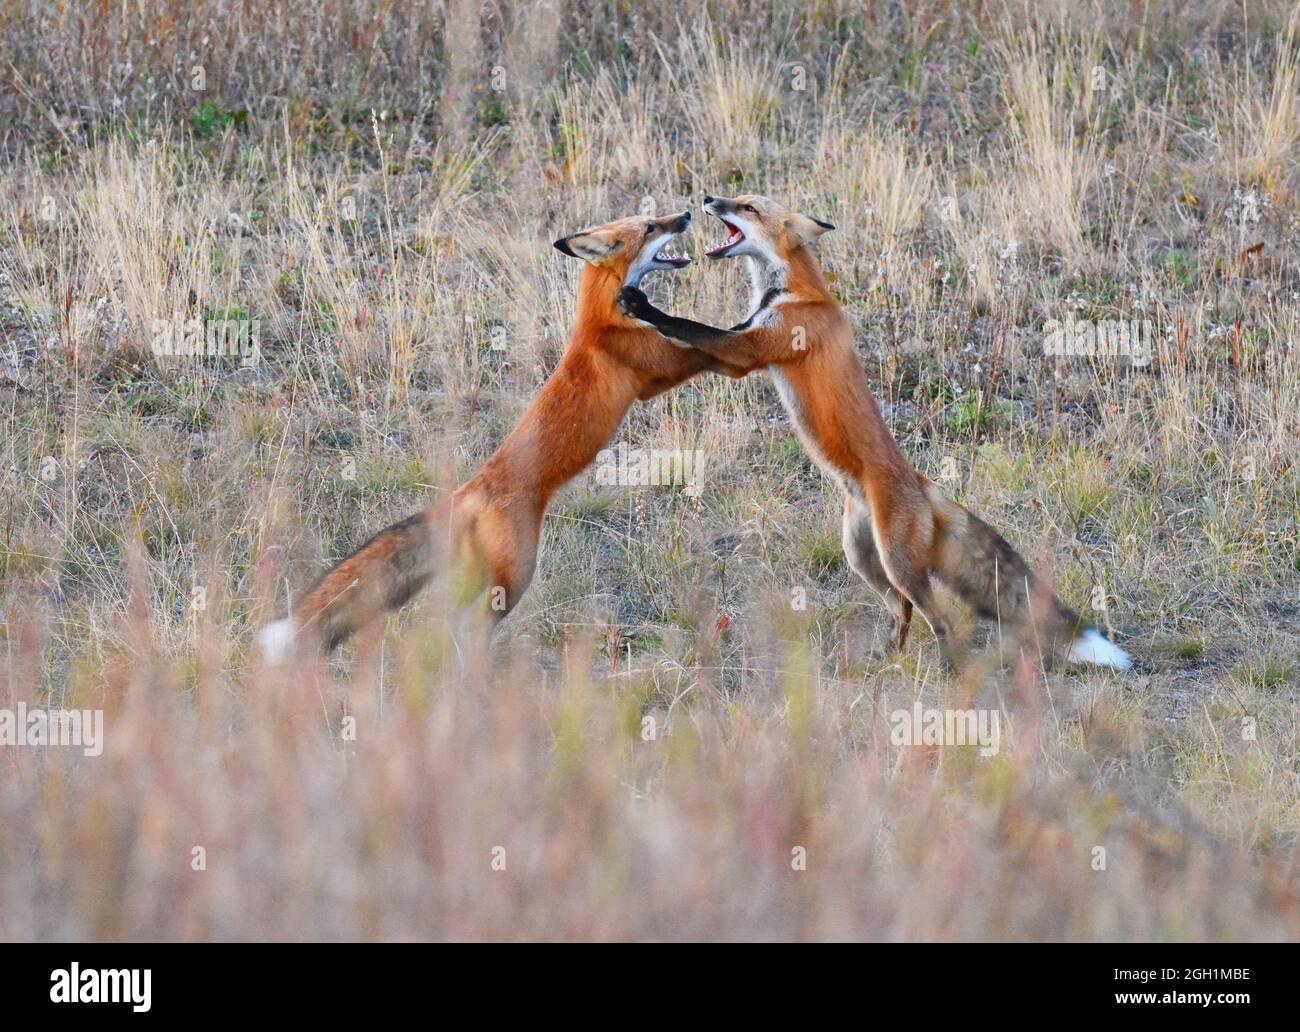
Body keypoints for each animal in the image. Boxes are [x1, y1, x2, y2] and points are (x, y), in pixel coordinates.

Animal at [256, 209, 745, 659]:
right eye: (650, 227)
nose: (685, 215)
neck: (600, 317)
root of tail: (473, 489)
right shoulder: (660, 372)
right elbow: (705, 346)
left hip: (480, 576)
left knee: (445, 622)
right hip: (516, 575)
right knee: (472, 625)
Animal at [618, 193, 1132, 671]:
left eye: (747, 207)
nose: (707, 198)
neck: (787, 292)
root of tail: (923, 485)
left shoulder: (753, 348)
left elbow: (690, 326)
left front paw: (641, 304)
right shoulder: (741, 346)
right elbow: (694, 341)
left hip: (898, 563)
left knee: (939, 618)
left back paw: (946, 673)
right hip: (863, 558)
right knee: (902, 609)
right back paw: (886, 658)